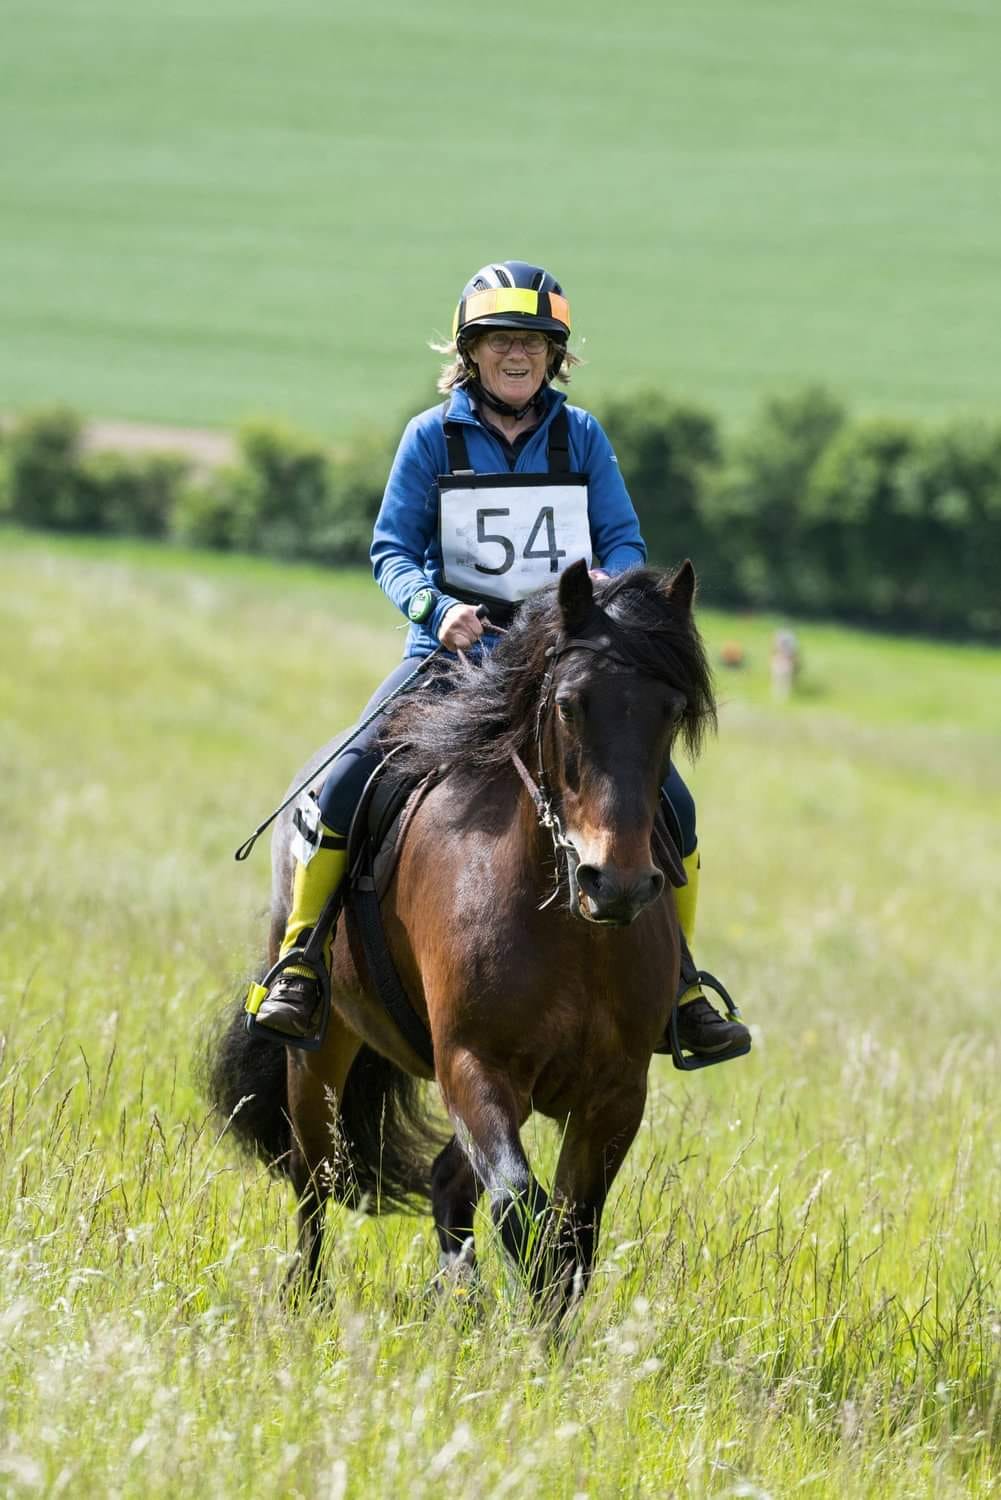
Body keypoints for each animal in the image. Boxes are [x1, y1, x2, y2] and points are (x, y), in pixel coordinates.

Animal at [210, 561, 711, 1314]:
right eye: (570, 705)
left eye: (671, 711)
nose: (615, 884)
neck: (569, 927)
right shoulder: (473, 1064)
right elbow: (519, 1203)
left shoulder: (616, 1093)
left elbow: (573, 1231)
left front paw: (546, 1333)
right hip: (322, 1045)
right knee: (315, 1171)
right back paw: (311, 1296)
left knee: (446, 1179)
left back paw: (459, 1294)